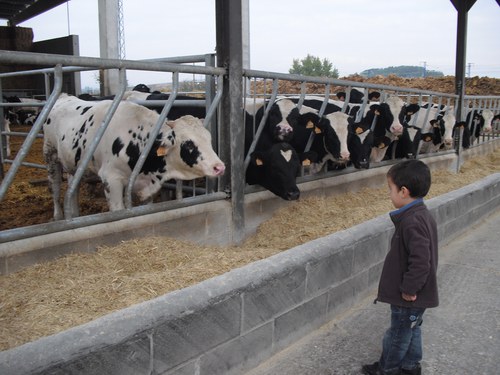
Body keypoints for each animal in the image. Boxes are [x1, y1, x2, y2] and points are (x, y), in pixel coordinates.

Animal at [43, 93, 227, 220]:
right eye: (188, 144)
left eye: (209, 139)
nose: (219, 167)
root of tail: (64, 97)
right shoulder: (111, 180)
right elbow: (119, 211)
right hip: (50, 154)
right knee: (55, 186)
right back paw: (58, 216)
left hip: (73, 163)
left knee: (72, 186)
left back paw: (73, 213)